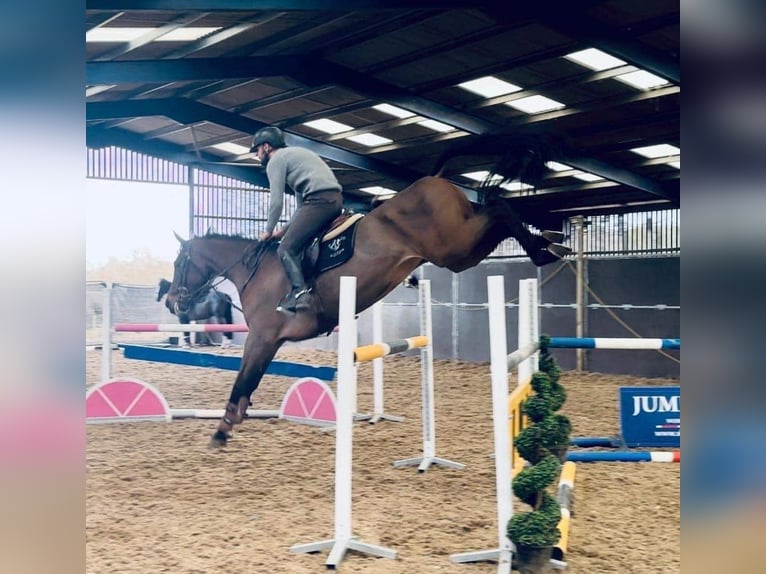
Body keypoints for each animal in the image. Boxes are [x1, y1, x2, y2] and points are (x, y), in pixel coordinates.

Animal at [165, 136, 572, 450]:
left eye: (179, 263)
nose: (171, 303)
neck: (255, 271)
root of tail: (433, 177)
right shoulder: (270, 341)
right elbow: (249, 383)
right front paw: (231, 424)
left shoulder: (263, 337)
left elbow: (243, 380)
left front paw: (221, 431)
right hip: (460, 250)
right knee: (497, 212)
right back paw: (549, 242)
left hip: (454, 248)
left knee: (499, 208)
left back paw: (546, 247)